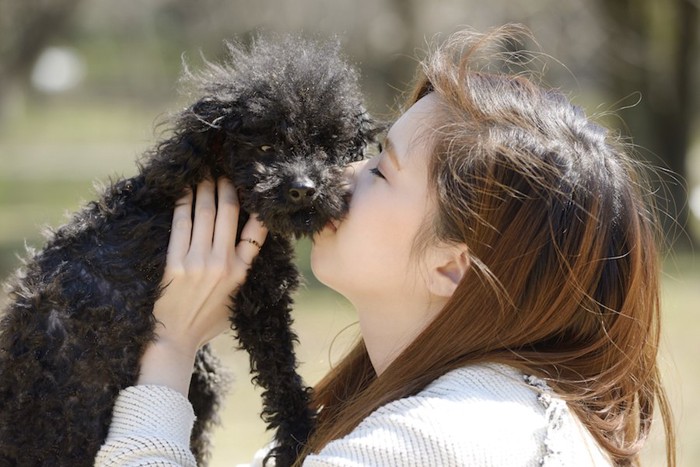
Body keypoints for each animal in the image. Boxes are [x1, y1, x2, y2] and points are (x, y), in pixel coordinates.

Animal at [0, 35, 378, 467]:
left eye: (326, 147)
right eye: (265, 146)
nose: (303, 188)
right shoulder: (259, 297)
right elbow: (280, 370)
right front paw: (296, 436)